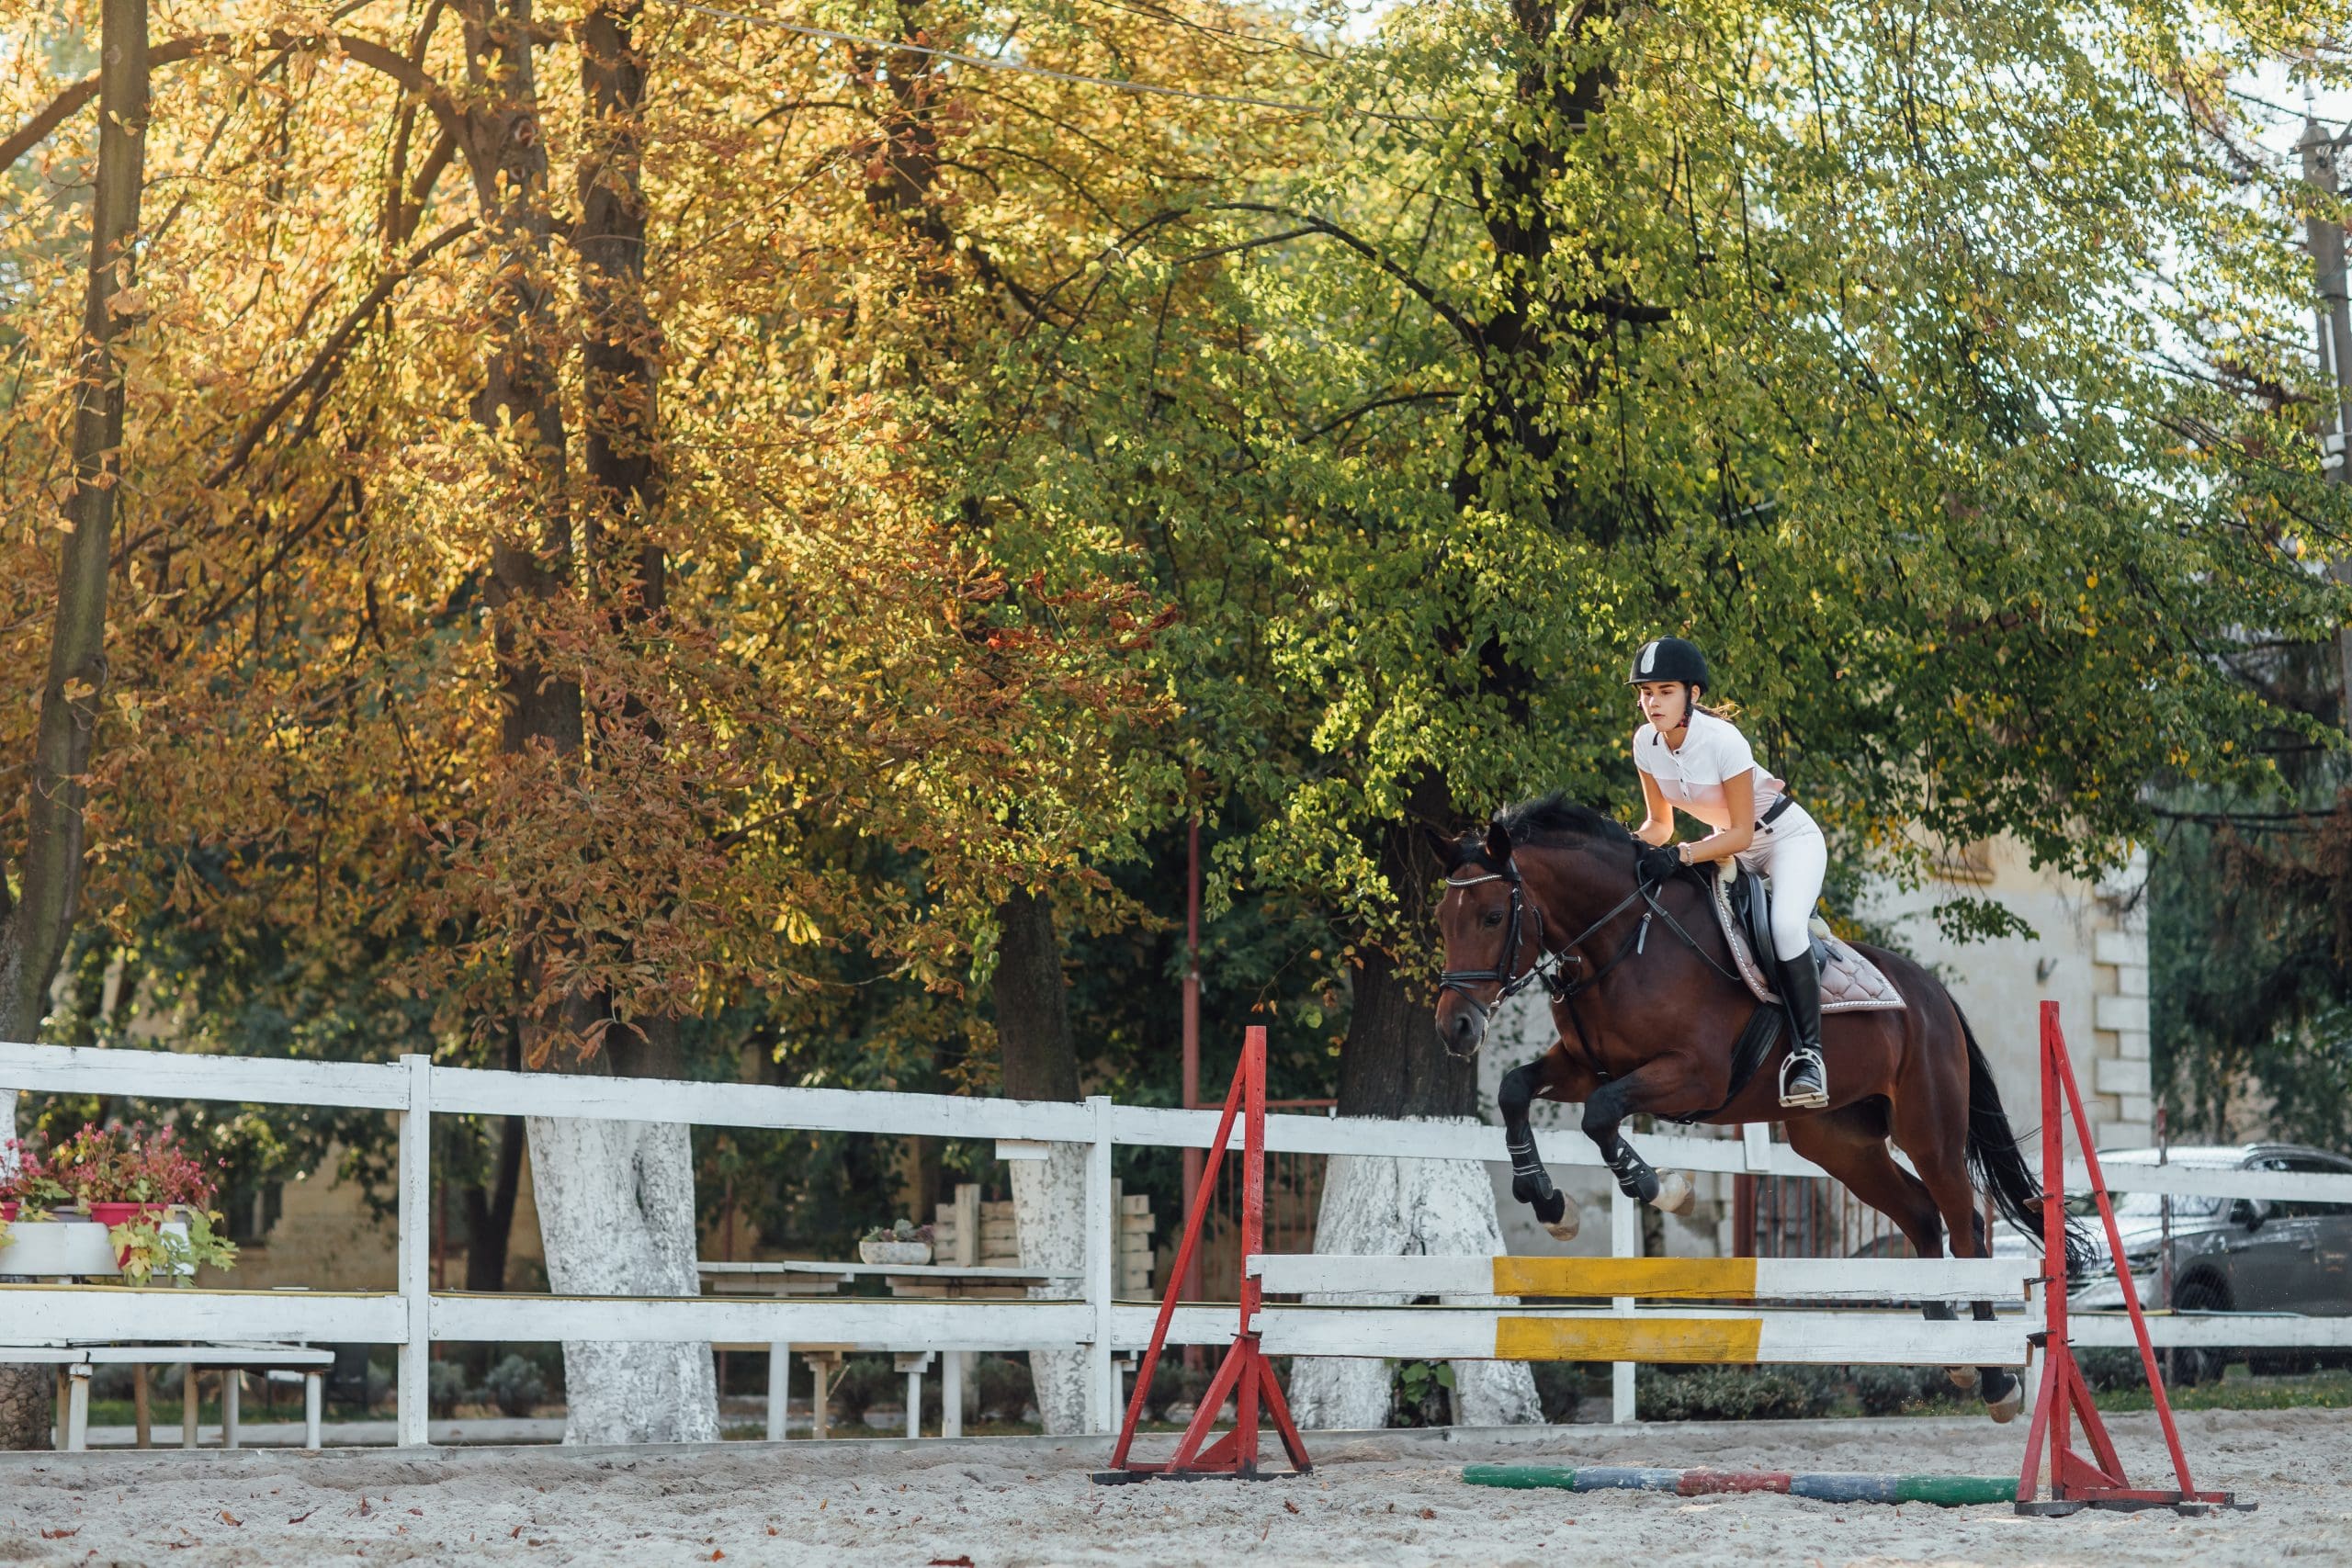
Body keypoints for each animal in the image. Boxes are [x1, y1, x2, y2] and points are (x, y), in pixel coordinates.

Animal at [1420, 799, 2069, 1419]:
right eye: (1443, 919)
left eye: (1493, 916)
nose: (1455, 1029)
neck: (1620, 940)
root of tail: (1934, 995)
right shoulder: (1584, 1067)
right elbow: (1515, 1090)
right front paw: (1550, 1203)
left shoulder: (1695, 1076)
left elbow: (1601, 1115)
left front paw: (1663, 1189)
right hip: (1839, 1143)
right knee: (1920, 1216)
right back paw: (1951, 1356)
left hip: (1928, 1129)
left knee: (1965, 1224)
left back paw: (1994, 1379)